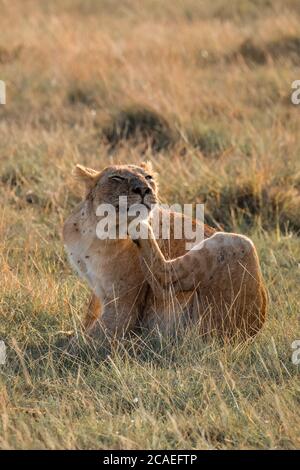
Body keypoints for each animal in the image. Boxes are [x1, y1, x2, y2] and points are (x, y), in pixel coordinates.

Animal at [63, 162, 268, 346]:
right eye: (117, 177)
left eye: (148, 177)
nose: (143, 189)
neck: (93, 232)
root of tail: (252, 333)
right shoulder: (97, 291)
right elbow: (90, 315)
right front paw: (70, 333)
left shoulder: (123, 305)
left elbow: (92, 337)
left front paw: (66, 347)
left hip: (238, 244)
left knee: (164, 279)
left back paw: (141, 226)